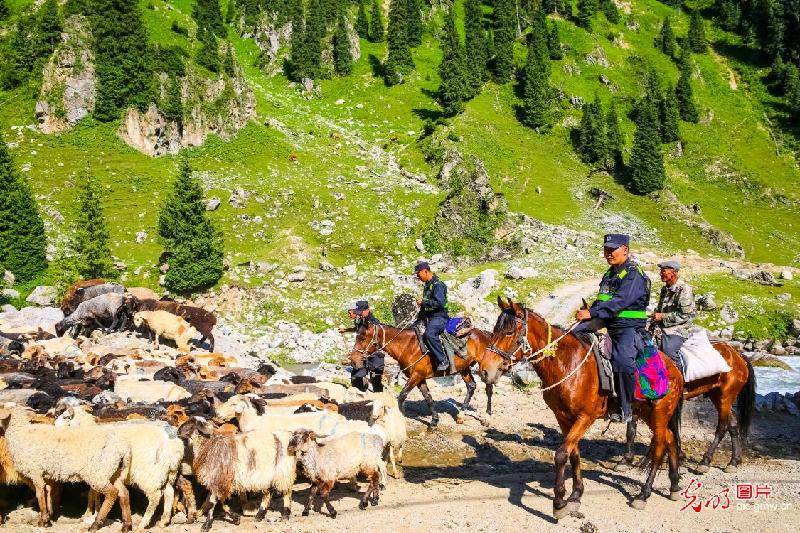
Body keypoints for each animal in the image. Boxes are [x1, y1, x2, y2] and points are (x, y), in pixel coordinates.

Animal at [0, 406, 133, 528]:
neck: (21, 432)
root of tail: (123, 448)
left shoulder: (35, 471)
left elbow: (40, 493)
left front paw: (43, 520)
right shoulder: (45, 474)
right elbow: (48, 491)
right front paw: (48, 516)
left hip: (99, 473)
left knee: (112, 493)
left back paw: (96, 523)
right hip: (113, 471)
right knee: (123, 493)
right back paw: (127, 524)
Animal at [55, 408, 184, 528]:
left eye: (66, 417)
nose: (55, 427)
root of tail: (174, 446)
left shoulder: (97, 471)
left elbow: (92, 494)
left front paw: (89, 514)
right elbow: (94, 493)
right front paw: (94, 512)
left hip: (149, 474)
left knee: (155, 496)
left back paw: (142, 524)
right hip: (166, 474)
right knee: (169, 493)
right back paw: (163, 521)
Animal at [346, 320, 506, 424]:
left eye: (362, 338)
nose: (353, 360)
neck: (408, 346)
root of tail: (485, 335)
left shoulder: (416, 376)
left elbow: (402, 396)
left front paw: (401, 416)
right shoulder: (420, 378)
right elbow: (428, 397)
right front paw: (434, 420)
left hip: (486, 367)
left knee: (488, 389)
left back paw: (487, 417)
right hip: (464, 369)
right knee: (471, 386)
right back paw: (461, 414)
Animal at [488, 296, 688, 516]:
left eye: (508, 332)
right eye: (495, 330)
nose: (487, 369)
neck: (568, 363)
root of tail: (675, 368)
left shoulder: (585, 417)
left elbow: (561, 454)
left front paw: (559, 502)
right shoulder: (563, 418)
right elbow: (573, 453)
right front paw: (575, 495)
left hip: (660, 413)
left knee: (660, 446)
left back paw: (643, 495)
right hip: (647, 413)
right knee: (670, 439)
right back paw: (674, 485)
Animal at [616, 338, 752, 472]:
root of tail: (737, 355)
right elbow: (631, 431)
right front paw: (626, 460)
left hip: (725, 397)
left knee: (722, 428)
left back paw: (705, 461)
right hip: (717, 396)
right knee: (733, 424)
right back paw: (733, 462)